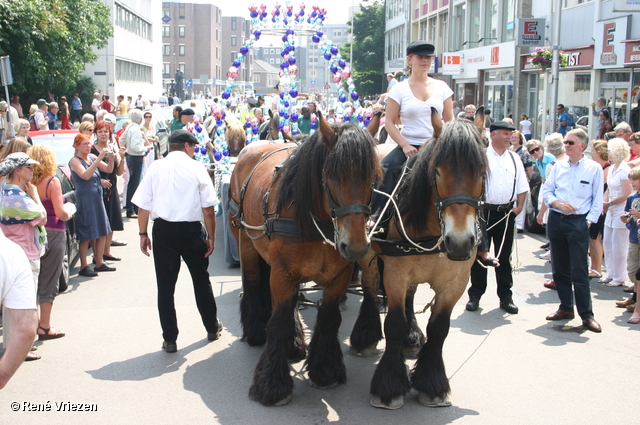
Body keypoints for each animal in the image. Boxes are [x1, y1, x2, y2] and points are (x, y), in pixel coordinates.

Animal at [229, 112, 380, 404]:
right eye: (331, 176)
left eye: (374, 177)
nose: (356, 247)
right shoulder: (282, 273)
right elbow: (278, 322)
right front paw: (271, 384)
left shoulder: (339, 276)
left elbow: (329, 319)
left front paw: (325, 370)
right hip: (246, 241)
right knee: (252, 283)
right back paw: (256, 331)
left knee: (294, 303)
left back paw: (295, 344)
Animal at [352, 111, 488, 410]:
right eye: (437, 172)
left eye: (483, 172)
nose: (460, 242)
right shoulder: (395, 273)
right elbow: (394, 323)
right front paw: (389, 387)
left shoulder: (456, 282)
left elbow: (439, 328)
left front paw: (432, 384)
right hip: (367, 253)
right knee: (369, 289)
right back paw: (365, 335)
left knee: (411, 297)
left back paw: (411, 337)